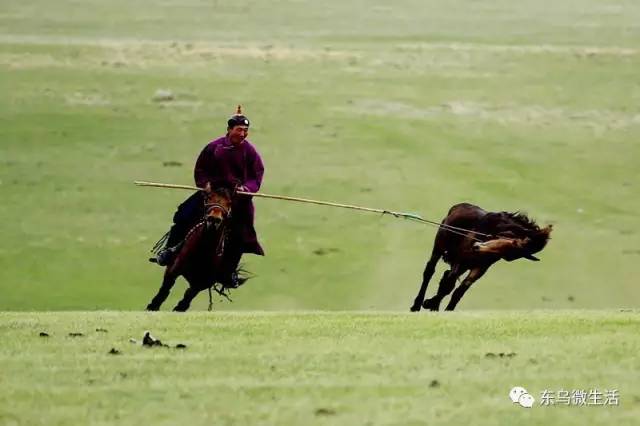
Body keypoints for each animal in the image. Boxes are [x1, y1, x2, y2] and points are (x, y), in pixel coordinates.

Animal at [146, 181, 239, 312]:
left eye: (229, 203)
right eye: (208, 198)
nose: (214, 219)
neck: (204, 248)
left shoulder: (201, 283)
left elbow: (185, 300)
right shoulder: (173, 270)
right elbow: (164, 291)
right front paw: (152, 307)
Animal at [412, 201, 552, 312]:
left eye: (508, 255)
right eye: (512, 242)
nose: (477, 247)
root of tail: (457, 206)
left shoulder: (480, 268)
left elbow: (460, 291)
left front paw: (445, 309)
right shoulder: (460, 260)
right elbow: (449, 285)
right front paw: (428, 303)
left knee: (446, 276)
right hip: (439, 246)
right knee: (430, 271)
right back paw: (417, 305)